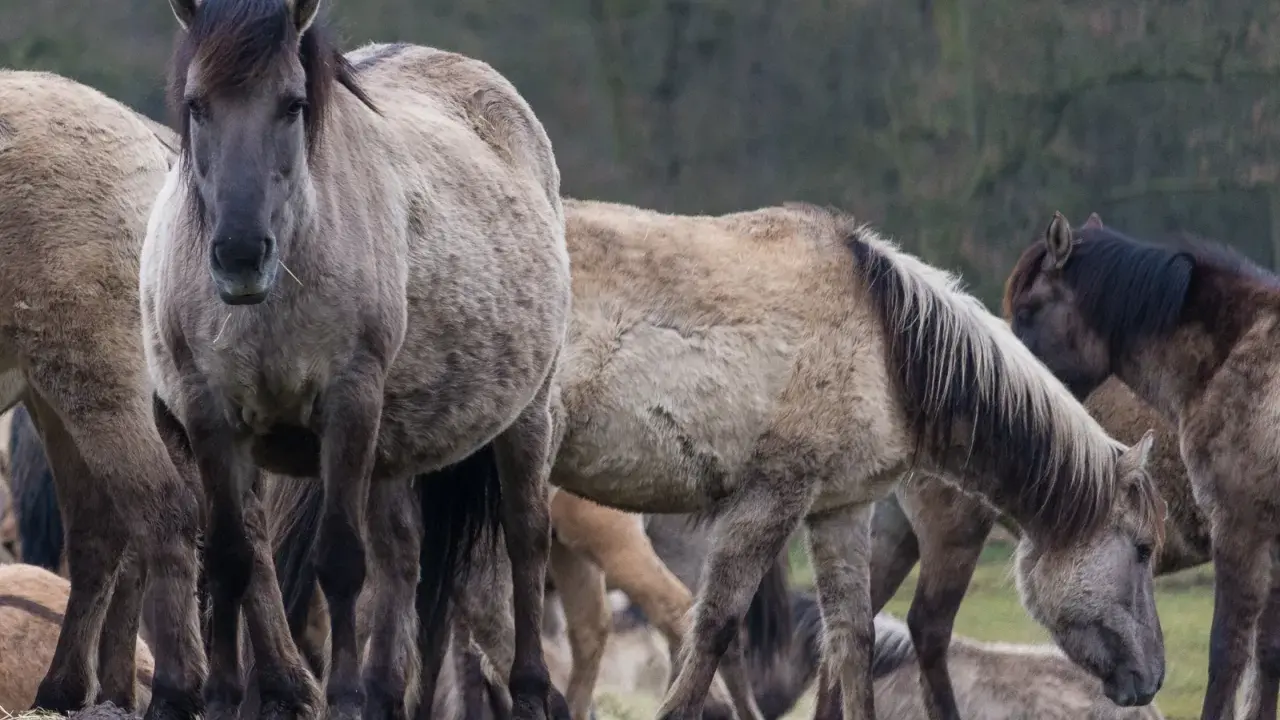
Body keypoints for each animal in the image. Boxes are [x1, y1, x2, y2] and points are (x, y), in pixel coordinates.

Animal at [143, 3, 573, 720]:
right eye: (197, 104)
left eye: (293, 104)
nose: (240, 254)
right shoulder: (211, 417)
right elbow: (231, 559)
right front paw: (226, 696)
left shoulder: (348, 405)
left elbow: (340, 561)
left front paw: (341, 697)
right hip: (394, 445)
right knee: (401, 556)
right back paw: (385, 693)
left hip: (525, 416)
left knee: (526, 539)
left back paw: (532, 690)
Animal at [536, 197, 1166, 720]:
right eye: (1141, 549)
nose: (1152, 678)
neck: (886, 339)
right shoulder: (773, 498)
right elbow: (716, 626)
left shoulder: (840, 510)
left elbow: (851, 642)